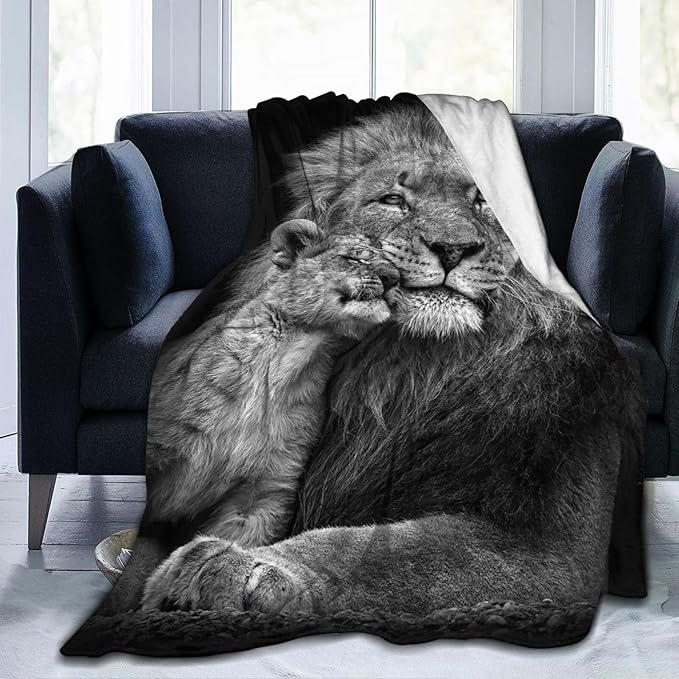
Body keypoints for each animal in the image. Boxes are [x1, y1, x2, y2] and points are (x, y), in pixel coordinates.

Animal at [140, 104, 645, 623]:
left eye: (483, 203)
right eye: (393, 200)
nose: (451, 249)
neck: (413, 370)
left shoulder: (553, 546)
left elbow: (370, 550)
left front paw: (237, 566)